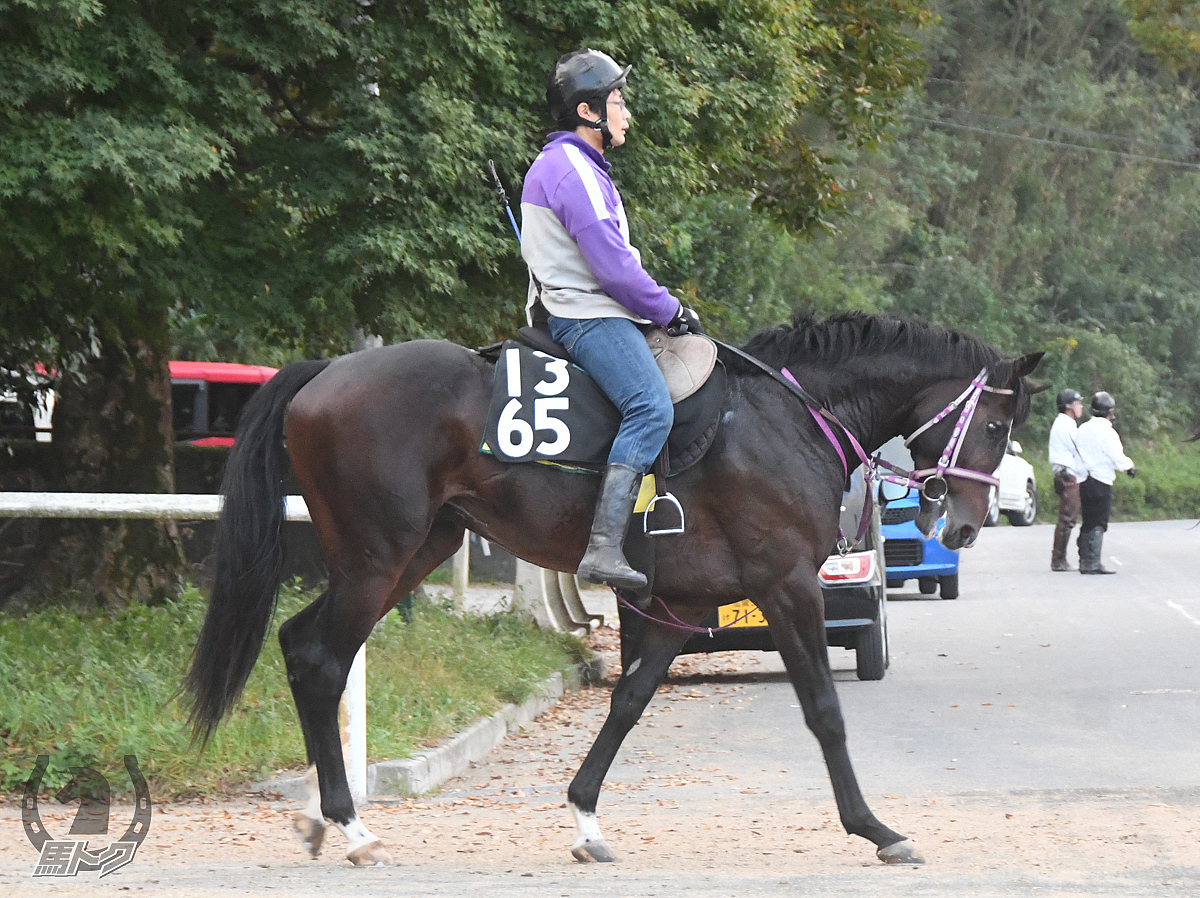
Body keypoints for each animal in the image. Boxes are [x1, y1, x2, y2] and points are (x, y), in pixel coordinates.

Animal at [184, 309, 1041, 869]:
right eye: (999, 427)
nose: (966, 524)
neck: (785, 417)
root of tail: (326, 371)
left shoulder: (680, 606)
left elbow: (627, 702)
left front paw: (585, 817)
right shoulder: (789, 584)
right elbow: (824, 712)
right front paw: (873, 827)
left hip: (413, 551)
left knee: (302, 645)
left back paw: (322, 818)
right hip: (375, 558)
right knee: (322, 661)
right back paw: (351, 826)